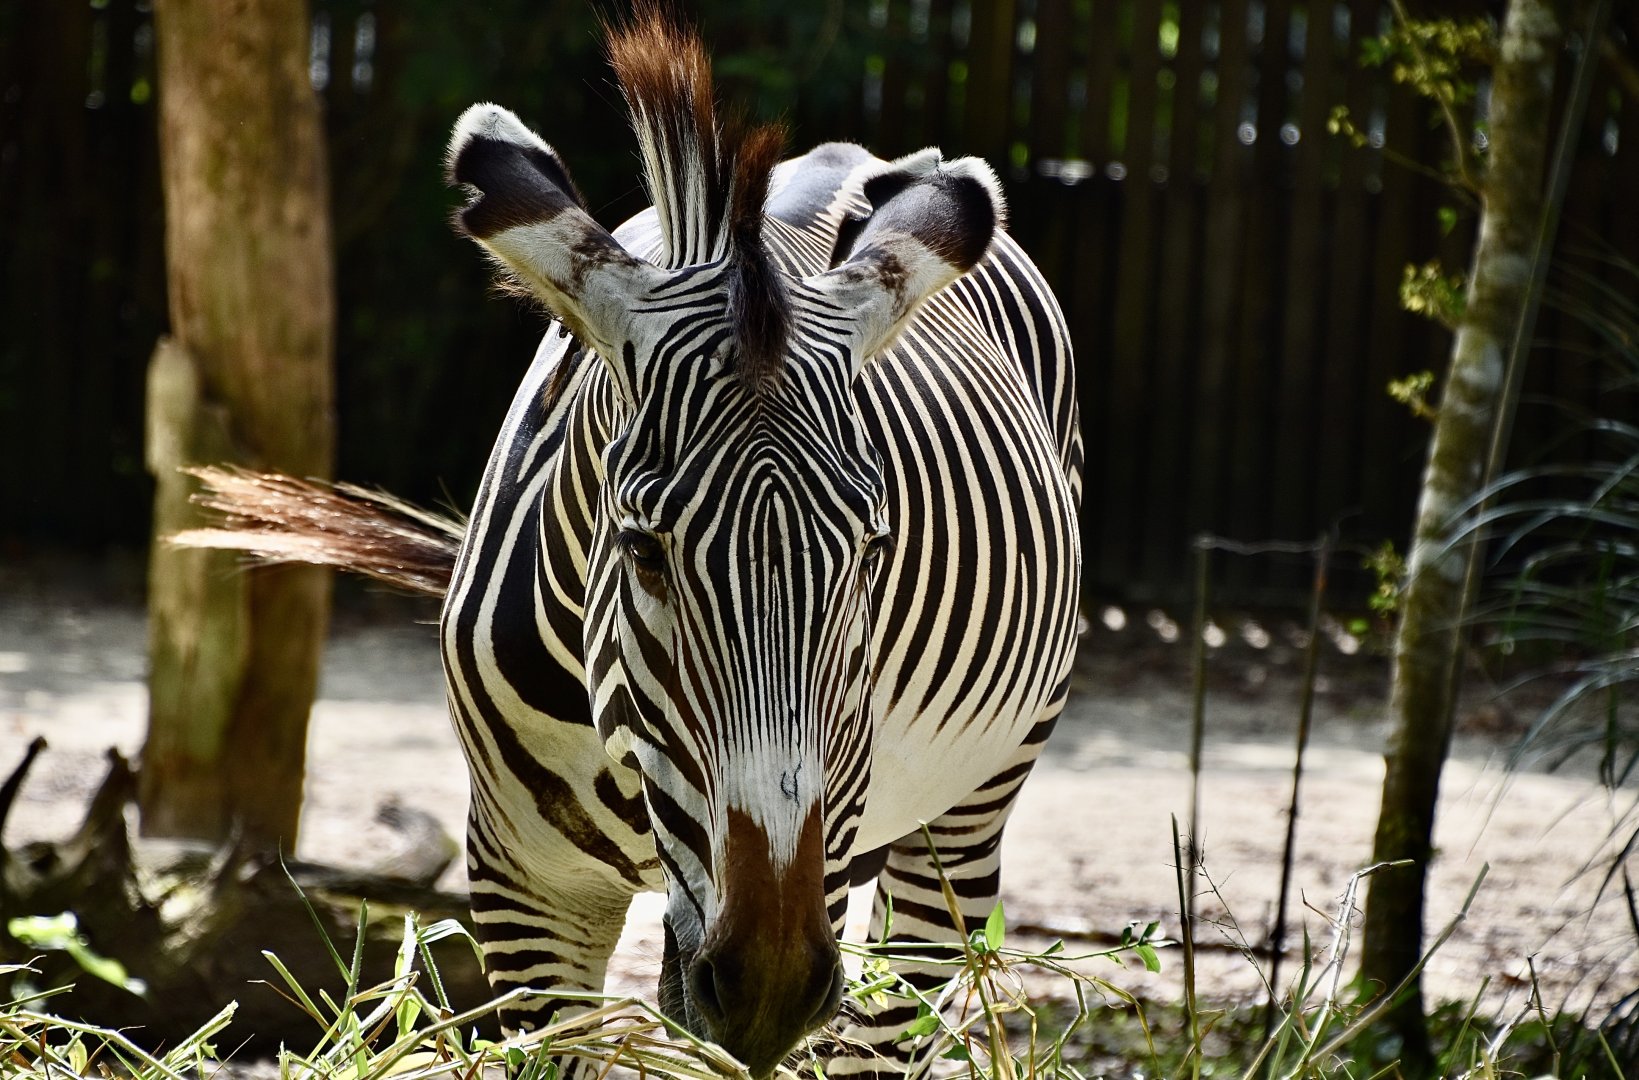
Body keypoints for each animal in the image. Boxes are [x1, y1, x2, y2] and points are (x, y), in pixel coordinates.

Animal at [186, 10, 1080, 1077]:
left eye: (871, 551)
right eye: (643, 547)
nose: (770, 985)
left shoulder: (815, 851)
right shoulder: (524, 888)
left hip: (959, 825)